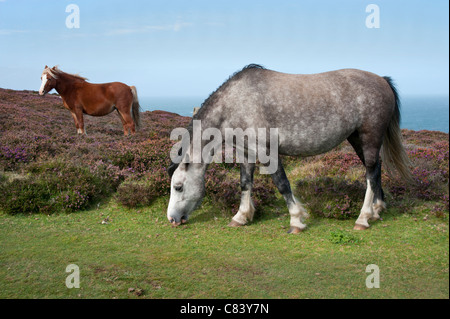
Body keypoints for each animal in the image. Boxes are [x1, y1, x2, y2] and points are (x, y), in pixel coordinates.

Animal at [166, 65, 412, 234]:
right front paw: (241, 216)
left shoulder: (267, 152)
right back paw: (377, 210)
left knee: (370, 172)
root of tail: (382, 80)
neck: (237, 102)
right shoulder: (247, 152)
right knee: (376, 170)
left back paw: (363, 218)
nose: (172, 219)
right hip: (357, 139)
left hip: (370, 138)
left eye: (178, 187)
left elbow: (282, 184)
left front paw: (296, 221)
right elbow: (245, 183)